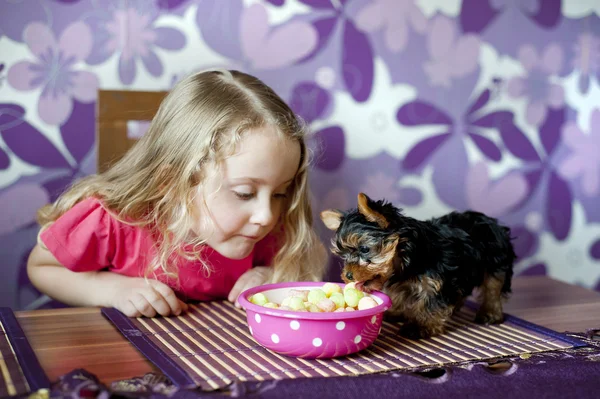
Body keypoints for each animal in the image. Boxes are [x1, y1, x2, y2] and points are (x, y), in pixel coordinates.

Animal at [318, 192, 516, 340]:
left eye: (365, 249)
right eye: (343, 255)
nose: (348, 275)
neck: (409, 260)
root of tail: (490, 221)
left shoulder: (439, 281)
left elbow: (431, 303)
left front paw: (420, 325)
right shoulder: (403, 281)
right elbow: (399, 294)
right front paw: (396, 311)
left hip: (496, 262)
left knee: (493, 287)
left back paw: (490, 313)